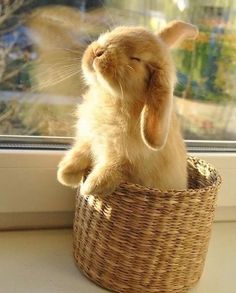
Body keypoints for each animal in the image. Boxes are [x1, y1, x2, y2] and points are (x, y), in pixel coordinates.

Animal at [57, 20, 199, 194]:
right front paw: (64, 174)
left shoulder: (126, 160)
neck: (115, 98)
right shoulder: (90, 137)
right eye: (116, 31)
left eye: (136, 59)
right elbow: (80, 152)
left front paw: (90, 186)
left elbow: (114, 169)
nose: (98, 51)